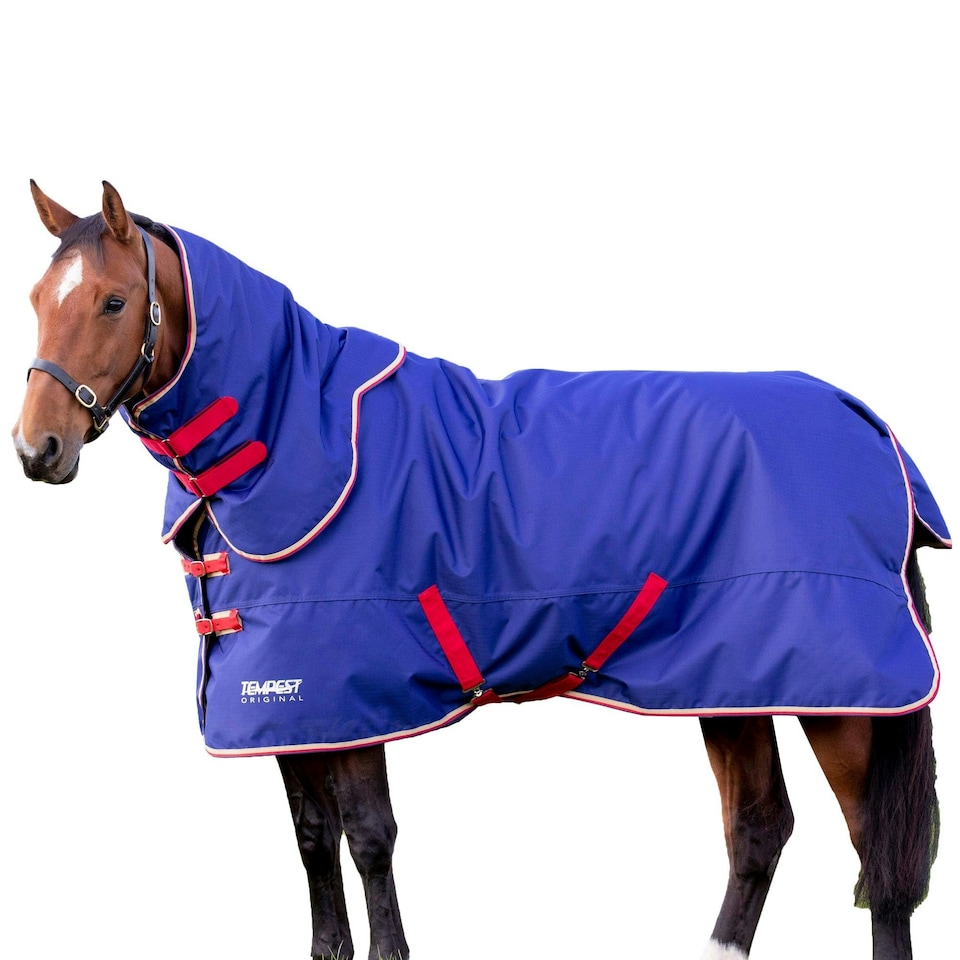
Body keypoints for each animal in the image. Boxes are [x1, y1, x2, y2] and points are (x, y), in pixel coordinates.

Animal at [12, 181, 948, 960]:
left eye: (113, 300)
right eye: (35, 302)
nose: (36, 449)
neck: (288, 435)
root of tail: (868, 425)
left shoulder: (354, 698)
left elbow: (369, 838)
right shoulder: (288, 708)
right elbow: (313, 841)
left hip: (843, 695)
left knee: (877, 855)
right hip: (733, 682)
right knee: (759, 829)